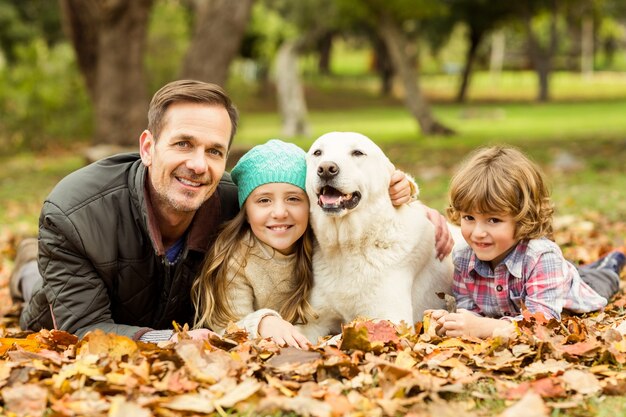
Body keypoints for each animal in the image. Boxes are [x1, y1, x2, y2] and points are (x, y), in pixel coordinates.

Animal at [298, 132, 450, 342]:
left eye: (357, 153)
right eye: (317, 153)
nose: (326, 169)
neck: (346, 247)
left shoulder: (390, 319)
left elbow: (337, 338)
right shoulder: (311, 322)